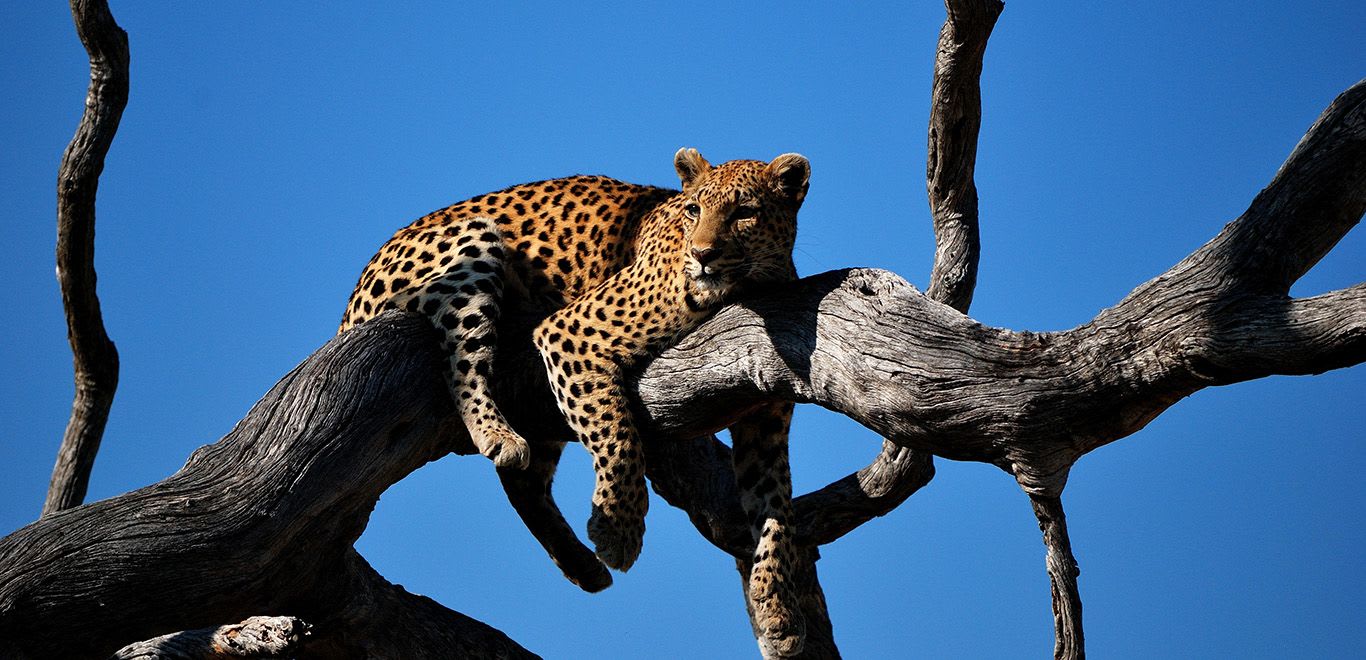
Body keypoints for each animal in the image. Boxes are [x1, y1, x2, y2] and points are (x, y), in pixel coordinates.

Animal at [341, 148, 808, 650]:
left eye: (745, 213)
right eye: (693, 210)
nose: (702, 255)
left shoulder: (765, 422)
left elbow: (776, 508)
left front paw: (779, 608)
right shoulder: (571, 334)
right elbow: (617, 434)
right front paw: (619, 530)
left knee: (523, 481)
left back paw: (581, 565)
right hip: (473, 244)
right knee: (462, 359)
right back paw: (497, 434)